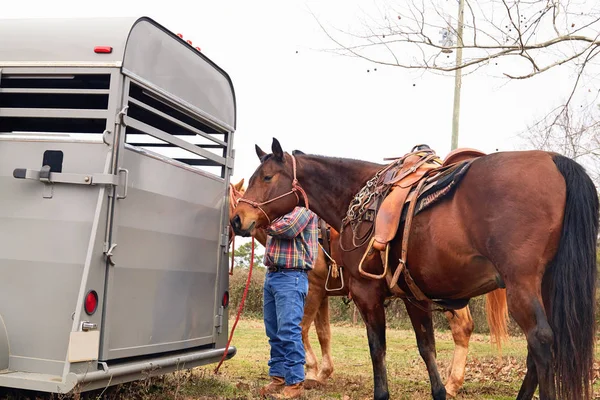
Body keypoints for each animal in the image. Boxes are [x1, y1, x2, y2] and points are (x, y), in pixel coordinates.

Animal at [227, 178, 508, 396]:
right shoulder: (324, 294)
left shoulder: (313, 290)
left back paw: (451, 383)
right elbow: (324, 333)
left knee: (462, 327)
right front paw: (323, 372)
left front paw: (312, 371)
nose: (235, 222)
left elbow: (303, 330)